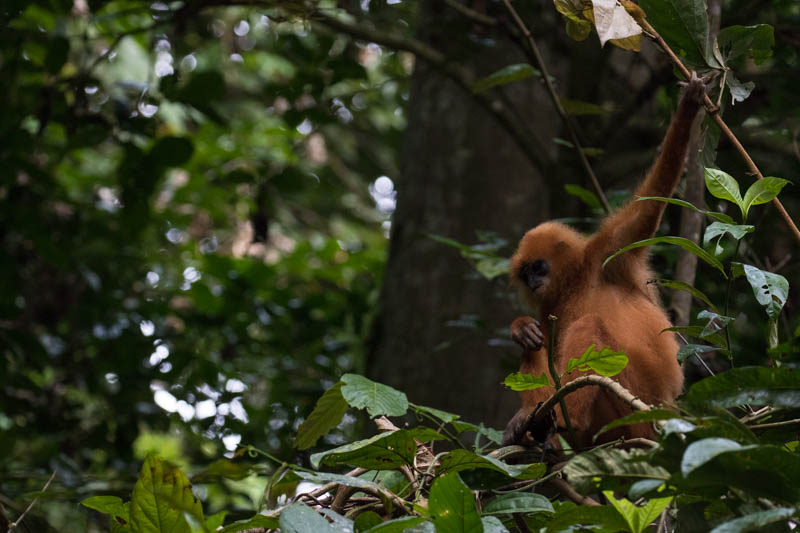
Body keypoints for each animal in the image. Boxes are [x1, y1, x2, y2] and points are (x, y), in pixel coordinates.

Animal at [504, 75, 704, 446]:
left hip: (632, 403)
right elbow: (543, 345)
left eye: (538, 266)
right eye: (525, 273)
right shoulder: (550, 304)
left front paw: (688, 110)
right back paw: (534, 425)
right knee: (542, 350)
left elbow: (647, 209)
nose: (534, 281)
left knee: (590, 326)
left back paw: (565, 420)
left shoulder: (609, 250)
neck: (577, 280)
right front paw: (521, 327)